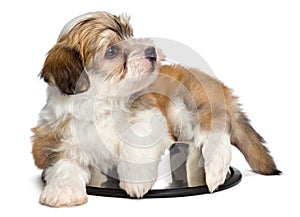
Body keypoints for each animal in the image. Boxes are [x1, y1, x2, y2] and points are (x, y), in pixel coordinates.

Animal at [31, 11, 280, 207]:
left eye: (130, 34)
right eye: (111, 51)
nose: (150, 51)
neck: (103, 101)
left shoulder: (149, 114)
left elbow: (137, 139)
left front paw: (135, 179)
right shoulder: (54, 139)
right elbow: (63, 162)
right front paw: (62, 191)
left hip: (187, 104)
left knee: (215, 127)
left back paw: (215, 167)